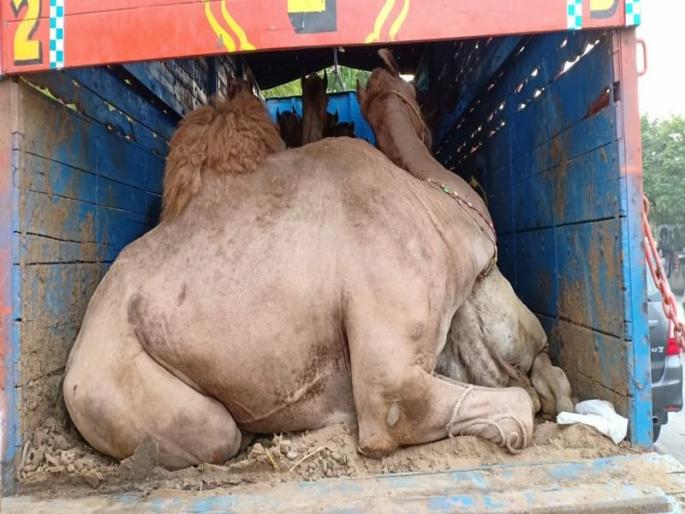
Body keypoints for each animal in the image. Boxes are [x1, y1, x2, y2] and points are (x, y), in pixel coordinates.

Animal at [62, 77, 542, 472]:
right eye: (417, 97)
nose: (540, 341)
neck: (436, 209)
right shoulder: (390, 370)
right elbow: (499, 408)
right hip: (109, 387)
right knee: (219, 433)